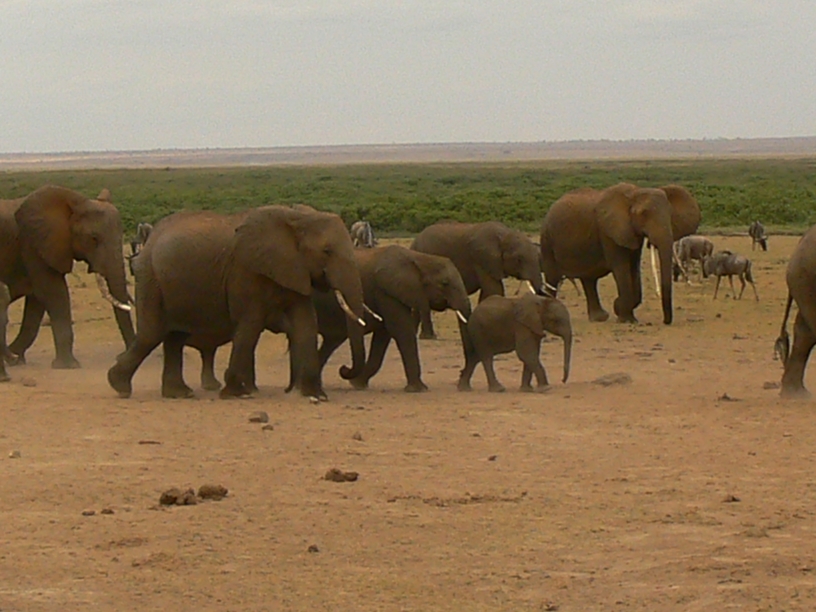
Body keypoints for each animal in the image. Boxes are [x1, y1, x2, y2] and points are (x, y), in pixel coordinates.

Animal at [0, 185, 135, 368]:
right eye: (93, 239)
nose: (120, 356)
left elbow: (37, 301)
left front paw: (16, 358)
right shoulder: (32, 245)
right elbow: (53, 292)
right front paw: (68, 365)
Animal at [107, 205, 367, 400]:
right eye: (327, 251)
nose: (345, 370)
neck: (298, 218)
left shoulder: (295, 270)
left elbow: (305, 324)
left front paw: (316, 396)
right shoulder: (244, 271)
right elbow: (250, 325)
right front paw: (235, 393)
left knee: (175, 337)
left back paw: (179, 393)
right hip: (151, 278)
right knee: (152, 334)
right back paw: (119, 386)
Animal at [308, 245, 472, 392]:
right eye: (445, 283)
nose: (461, 384)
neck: (419, 258)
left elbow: (383, 336)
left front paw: (357, 384)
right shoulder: (386, 292)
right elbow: (401, 330)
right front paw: (419, 389)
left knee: (331, 341)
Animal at [539, 183, 675, 325]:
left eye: (671, 213)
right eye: (644, 213)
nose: (665, 322)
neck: (633, 193)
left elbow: (634, 267)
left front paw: (624, 312)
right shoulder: (608, 233)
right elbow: (621, 267)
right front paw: (625, 318)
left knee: (588, 279)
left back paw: (599, 318)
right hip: (547, 240)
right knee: (552, 277)